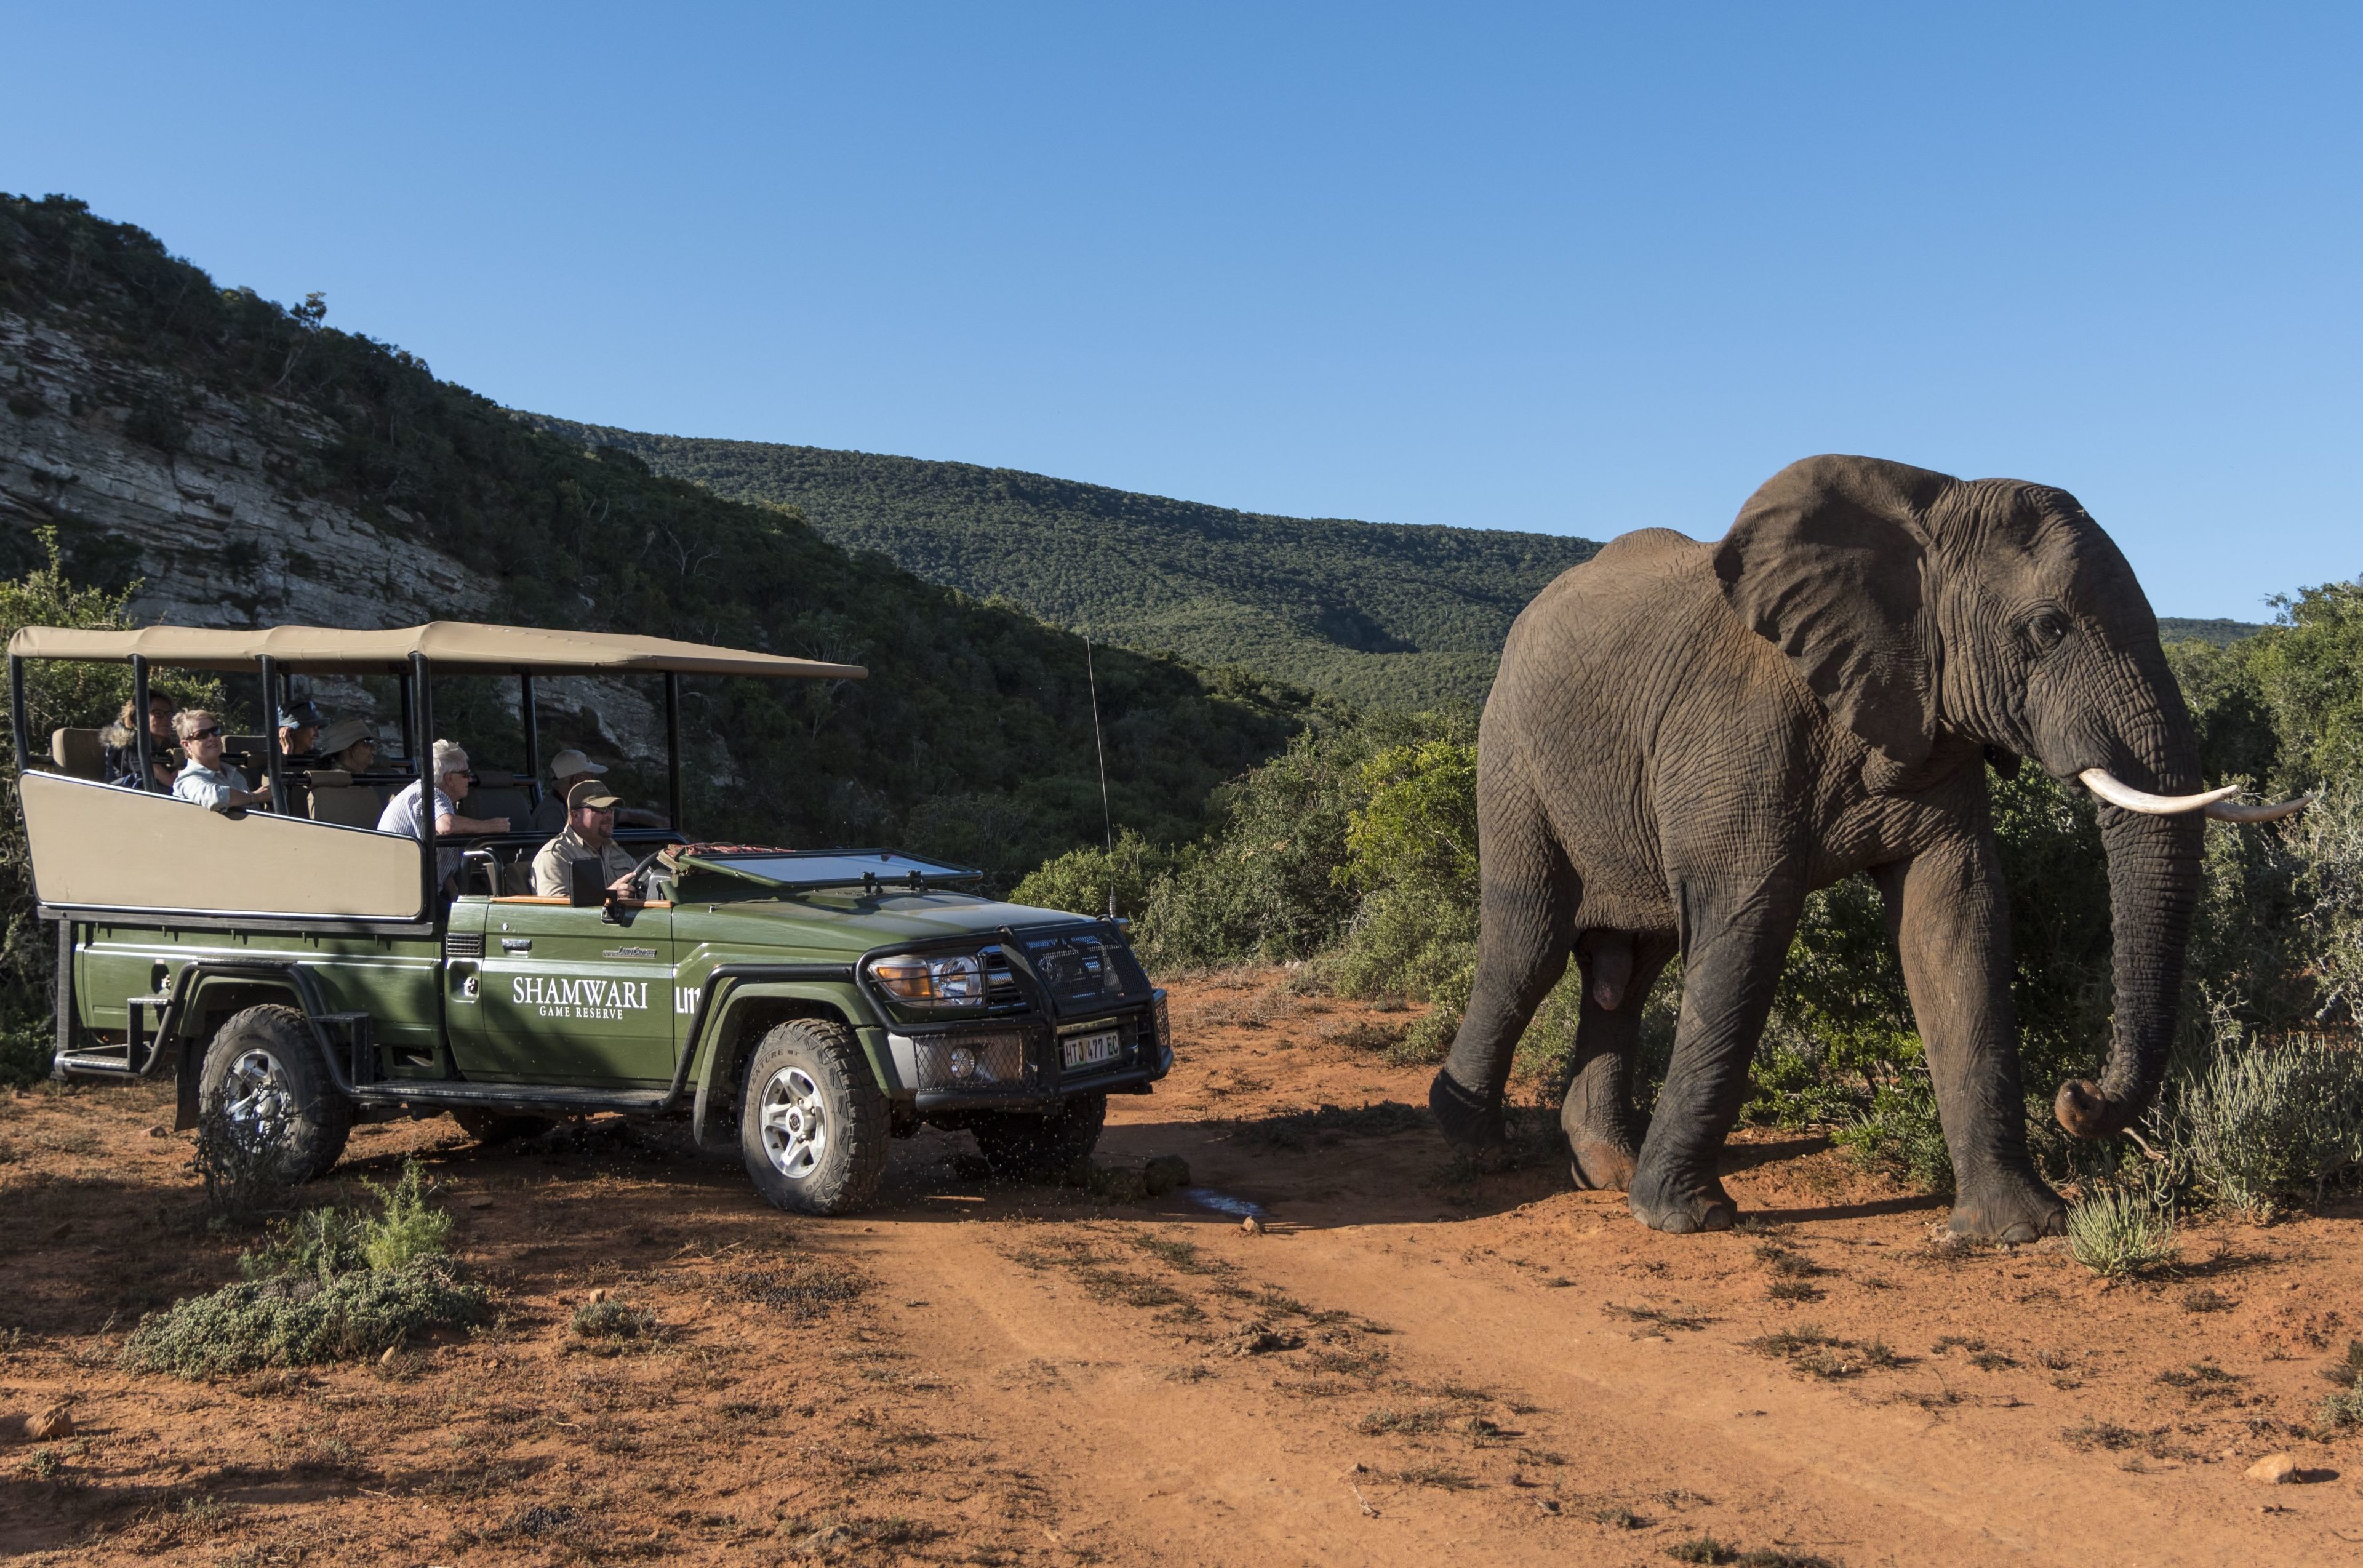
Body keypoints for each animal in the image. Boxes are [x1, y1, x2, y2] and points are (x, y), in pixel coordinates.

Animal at [1429, 454, 2308, 1241]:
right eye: (2047, 628)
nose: (2078, 1094)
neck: (1927, 514)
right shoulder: (1734, 733)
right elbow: (1746, 928)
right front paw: (1684, 1219)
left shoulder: (1933, 719)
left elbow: (1953, 924)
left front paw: (2018, 1230)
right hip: (1510, 756)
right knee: (1531, 943)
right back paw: (1475, 1152)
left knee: (1630, 968)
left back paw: (1606, 1170)